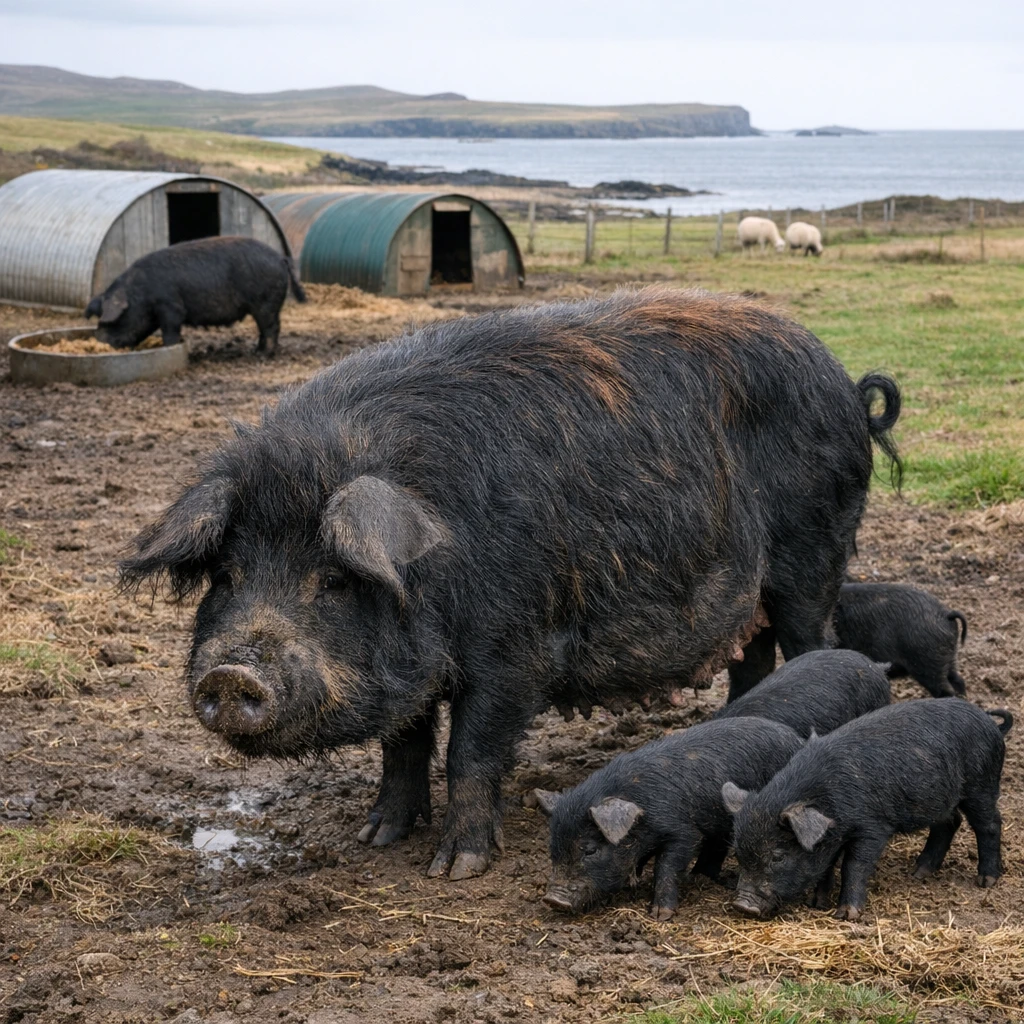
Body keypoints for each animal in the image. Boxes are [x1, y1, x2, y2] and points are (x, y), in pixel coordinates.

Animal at [85, 236, 306, 355]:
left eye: (111, 321)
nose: (98, 339)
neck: (140, 295)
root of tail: (280, 258)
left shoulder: (171, 307)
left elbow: (170, 331)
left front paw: (170, 346)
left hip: (264, 303)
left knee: (271, 327)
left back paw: (263, 354)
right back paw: (257, 350)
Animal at [534, 717, 804, 919]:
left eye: (589, 850)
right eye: (552, 848)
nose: (553, 899)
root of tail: (797, 739)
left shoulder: (682, 831)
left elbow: (666, 866)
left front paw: (660, 915)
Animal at [724, 700, 1012, 921]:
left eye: (778, 856)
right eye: (738, 853)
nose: (743, 905)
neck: (827, 797)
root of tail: (990, 723)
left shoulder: (872, 826)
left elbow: (854, 865)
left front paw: (847, 915)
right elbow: (826, 866)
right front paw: (816, 904)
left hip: (981, 783)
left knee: (989, 823)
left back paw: (986, 881)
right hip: (941, 797)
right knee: (950, 822)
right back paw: (918, 873)